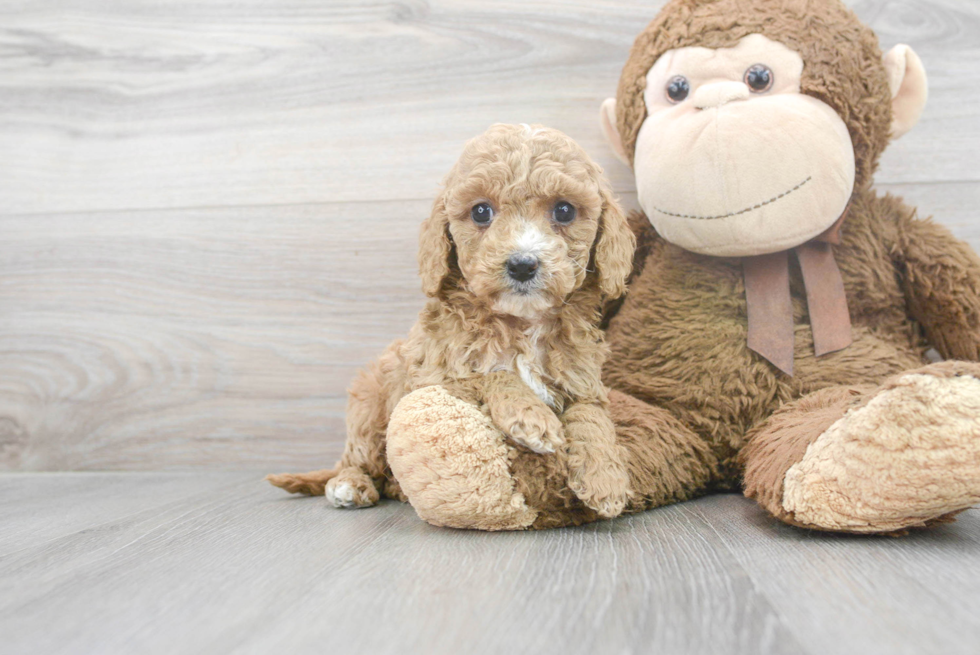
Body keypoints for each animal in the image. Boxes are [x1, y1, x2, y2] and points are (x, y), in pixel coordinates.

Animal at [268, 125, 636, 520]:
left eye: (564, 210)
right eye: (481, 211)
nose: (522, 264)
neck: (520, 324)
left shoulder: (582, 380)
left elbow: (592, 417)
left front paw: (605, 478)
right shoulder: (433, 379)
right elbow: (490, 375)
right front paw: (531, 416)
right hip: (369, 402)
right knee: (358, 458)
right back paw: (350, 484)